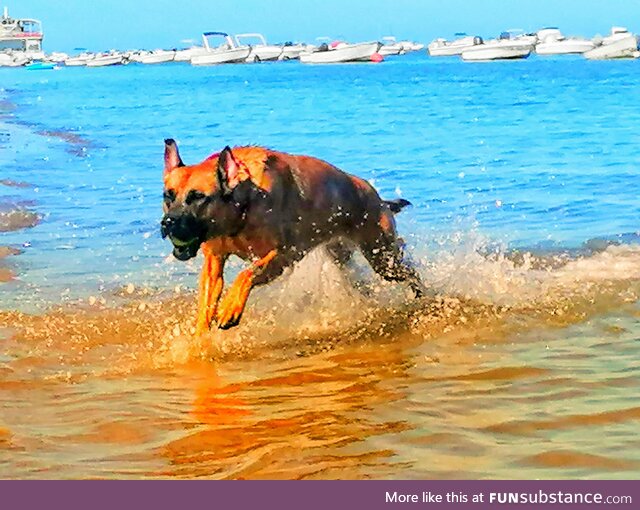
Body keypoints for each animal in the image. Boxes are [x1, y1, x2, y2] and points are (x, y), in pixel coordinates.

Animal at [161, 138, 424, 334]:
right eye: (168, 196)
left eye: (197, 197)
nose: (167, 223)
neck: (242, 205)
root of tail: (377, 198)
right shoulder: (214, 260)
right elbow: (207, 300)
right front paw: (198, 340)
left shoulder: (284, 254)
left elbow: (248, 273)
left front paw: (230, 309)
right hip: (343, 257)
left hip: (383, 256)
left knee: (410, 272)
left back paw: (421, 296)